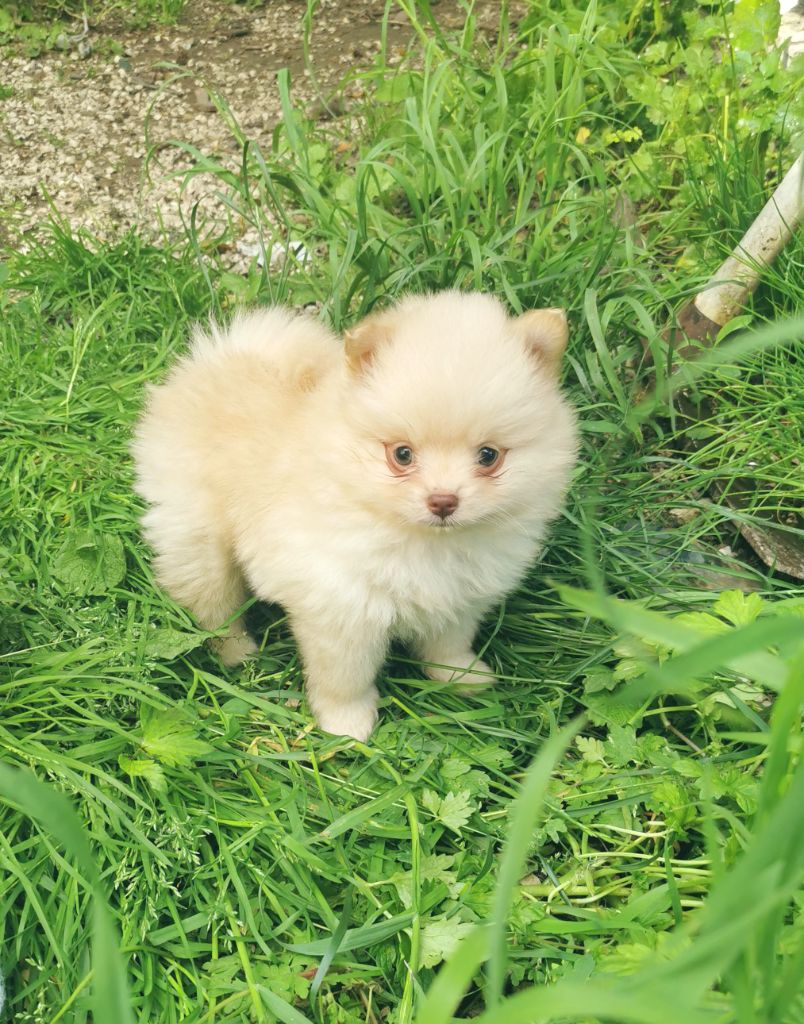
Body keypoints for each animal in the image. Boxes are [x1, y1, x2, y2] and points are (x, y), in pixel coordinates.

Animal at [132, 292, 577, 741]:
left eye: (488, 456)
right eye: (402, 455)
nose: (443, 500)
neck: (423, 541)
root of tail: (227, 356)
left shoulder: (458, 596)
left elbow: (447, 643)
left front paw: (459, 676)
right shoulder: (342, 609)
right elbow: (344, 678)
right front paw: (347, 725)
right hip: (198, 537)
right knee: (213, 607)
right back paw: (237, 654)